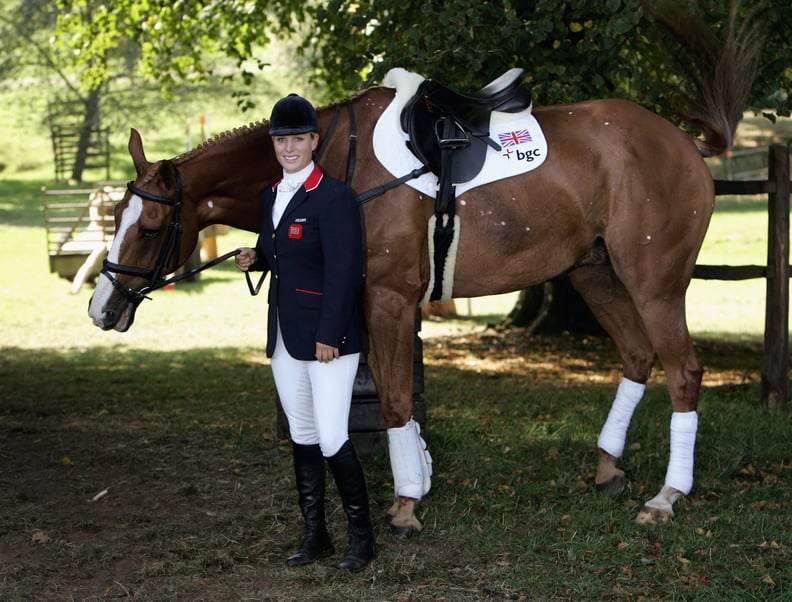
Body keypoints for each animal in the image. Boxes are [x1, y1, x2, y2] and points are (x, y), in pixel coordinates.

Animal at [88, 58, 748, 532]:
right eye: (116, 216)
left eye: (150, 229)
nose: (102, 309)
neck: (336, 164)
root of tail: (684, 142)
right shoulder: (362, 305)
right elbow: (386, 391)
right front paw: (420, 475)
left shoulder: (390, 299)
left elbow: (396, 399)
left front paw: (407, 503)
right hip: (596, 274)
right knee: (637, 356)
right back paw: (608, 467)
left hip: (655, 284)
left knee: (683, 372)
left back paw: (668, 495)